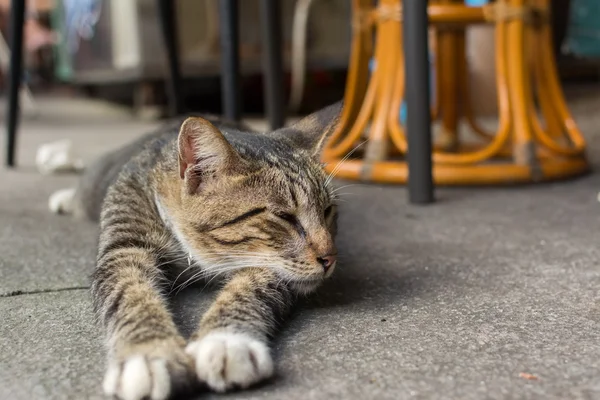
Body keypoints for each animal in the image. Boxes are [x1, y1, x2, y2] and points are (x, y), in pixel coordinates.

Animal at [50, 103, 342, 400]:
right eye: (284, 216)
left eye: (327, 210)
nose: (330, 258)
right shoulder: (124, 248)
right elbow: (130, 292)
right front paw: (148, 353)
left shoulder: (267, 263)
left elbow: (252, 288)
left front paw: (226, 341)